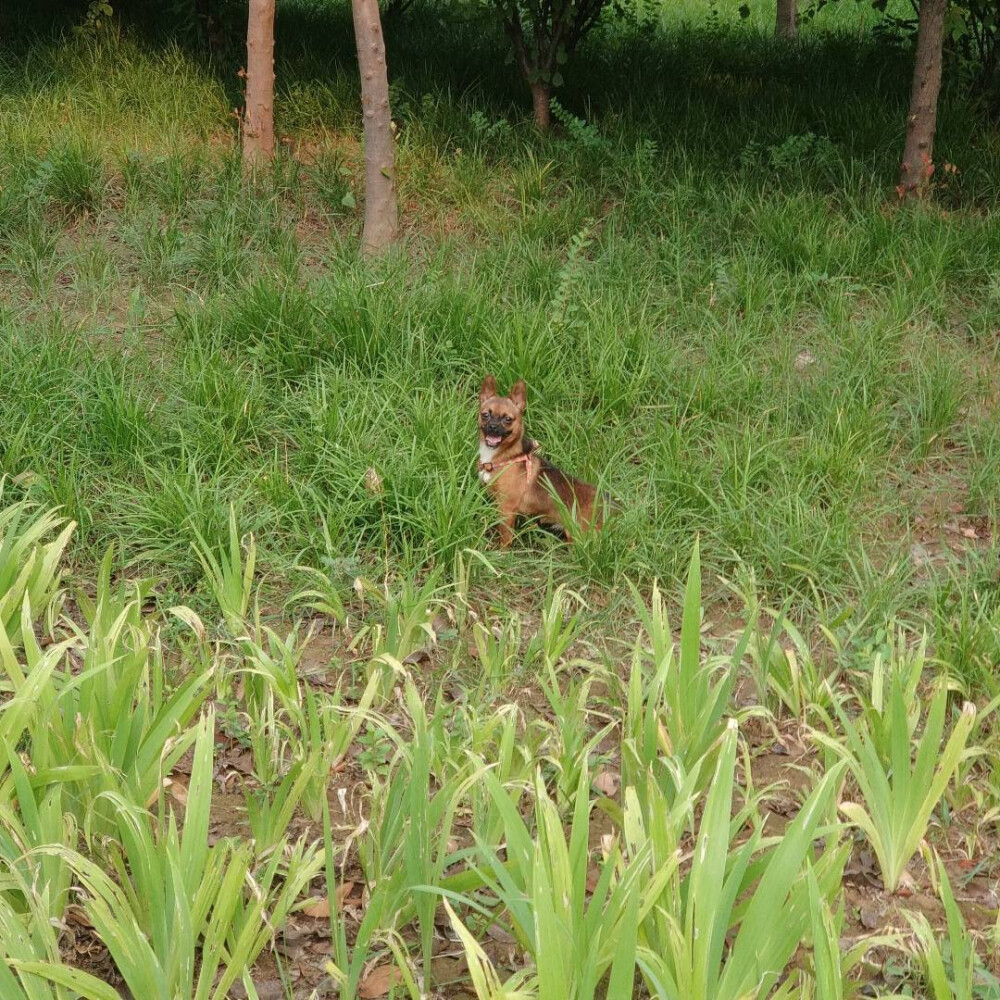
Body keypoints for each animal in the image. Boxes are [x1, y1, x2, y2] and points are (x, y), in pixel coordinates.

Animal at [476, 376, 600, 548]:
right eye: (485, 415)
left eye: (508, 419)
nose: (493, 427)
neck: (504, 457)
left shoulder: (507, 509)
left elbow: (505, 539)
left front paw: (500, 552)